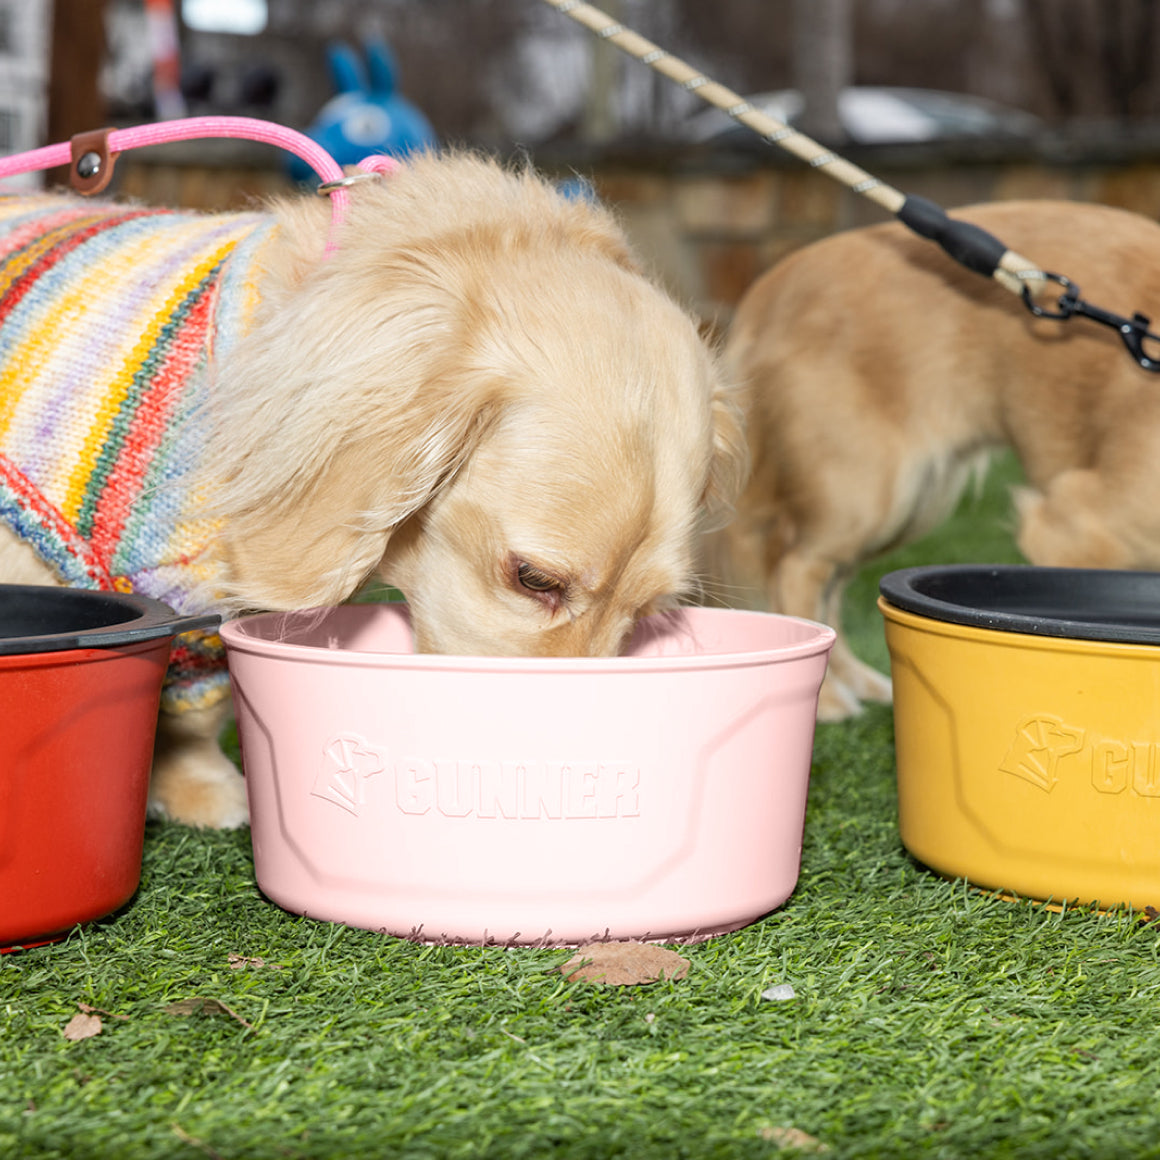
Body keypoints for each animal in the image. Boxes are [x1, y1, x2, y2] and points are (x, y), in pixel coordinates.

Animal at [719, 204, 1160, 719]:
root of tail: (779, 278)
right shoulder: (1074, 534)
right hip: (871, 491)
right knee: (796, 567)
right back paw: (826, 701)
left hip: (910, 501)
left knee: (830, 585)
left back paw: (858, 682)